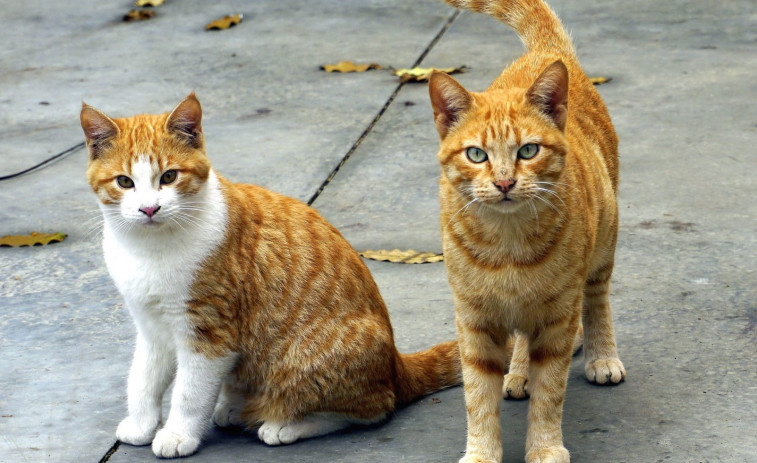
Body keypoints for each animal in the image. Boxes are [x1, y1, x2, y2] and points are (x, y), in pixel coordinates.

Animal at [81, 92, 460, 458]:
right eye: (125, 182)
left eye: (169, 177)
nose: (149, 209)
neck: (149, 248)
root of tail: (396, 364)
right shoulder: (152, 328)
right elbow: (142, 381)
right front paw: (142, 425)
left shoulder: (208, 335)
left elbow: (189, 394)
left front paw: (177, 434)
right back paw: (236, 408)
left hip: (306, 363)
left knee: (374, 408)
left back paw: (285, 425)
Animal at [426, 0, 628, 463]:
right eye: (476, 155)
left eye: (528, 150)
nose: (504, 183)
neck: (508, 242)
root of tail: (545, 53)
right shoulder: (475, 321)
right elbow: (478, 397)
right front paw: (482, 451)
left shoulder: (557, 317)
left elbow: (550, 393)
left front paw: (545, 447)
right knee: (520, 338)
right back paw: (517, 372)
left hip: (604, 243)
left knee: (597, 300)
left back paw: (600, 354)